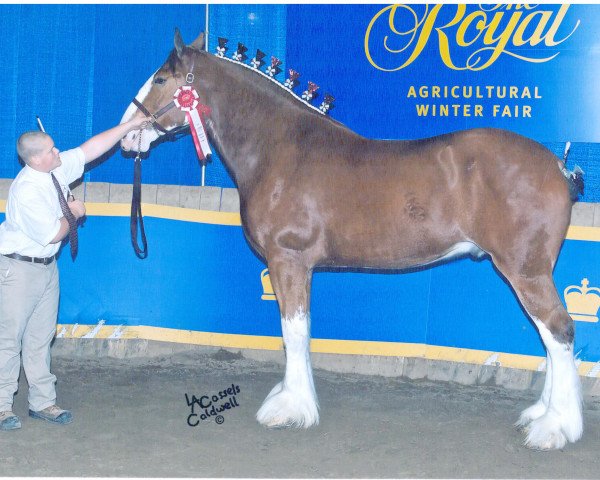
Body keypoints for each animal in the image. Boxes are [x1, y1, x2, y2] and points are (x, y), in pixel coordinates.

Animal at [119, 31, 584, 452]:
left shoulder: (288, 260)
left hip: (525, 270)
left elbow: (294, 332)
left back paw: (555, 428)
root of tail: (558, 165)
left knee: (558, 330)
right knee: (549, 337)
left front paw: (291, 408)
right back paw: (541, 415)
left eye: (161, 79)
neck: (280, 148)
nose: (126, 135)